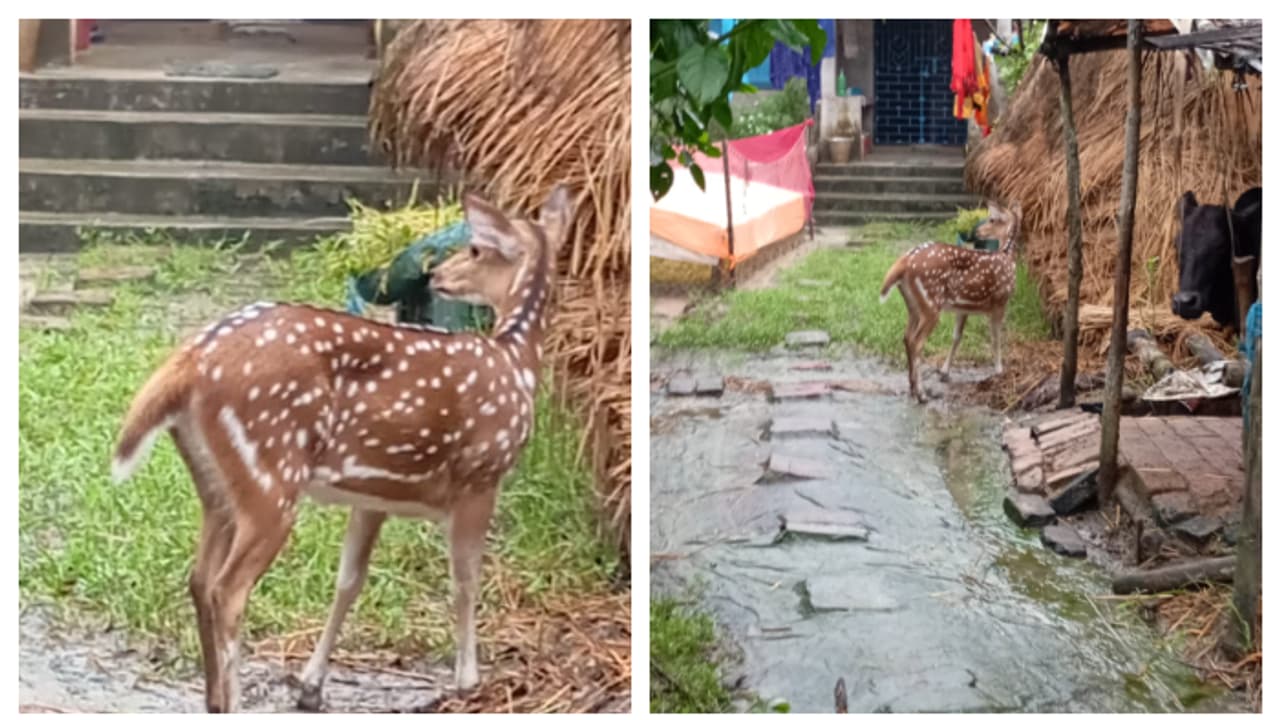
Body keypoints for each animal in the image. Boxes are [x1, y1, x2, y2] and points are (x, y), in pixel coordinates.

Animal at [109, 186, 573, 713]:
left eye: (475, 250)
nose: (436, 275)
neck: (518, 361)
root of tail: (188, 362)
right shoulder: (482, 474)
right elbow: (465, 580)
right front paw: (468, 680)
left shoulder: (372, 496)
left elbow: (348, 580)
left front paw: (311, 686)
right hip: (271, 476)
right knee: (228, 589)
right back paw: (236, 700)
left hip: (216, 486)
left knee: (200, 578)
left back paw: (214, 700)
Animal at [879, 200, 1022, 403]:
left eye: (992, 220)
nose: (976, 232)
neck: (1007, 257)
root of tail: (904, 261)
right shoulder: (1000, 301)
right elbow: (996, 338)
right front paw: (999, 371)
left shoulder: (962, 308)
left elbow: (956, 337)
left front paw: (945, 372)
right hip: (931, 304)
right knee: (917, 342)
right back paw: (922, 394)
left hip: (913, 305)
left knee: (906, 337)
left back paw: (913, 389)